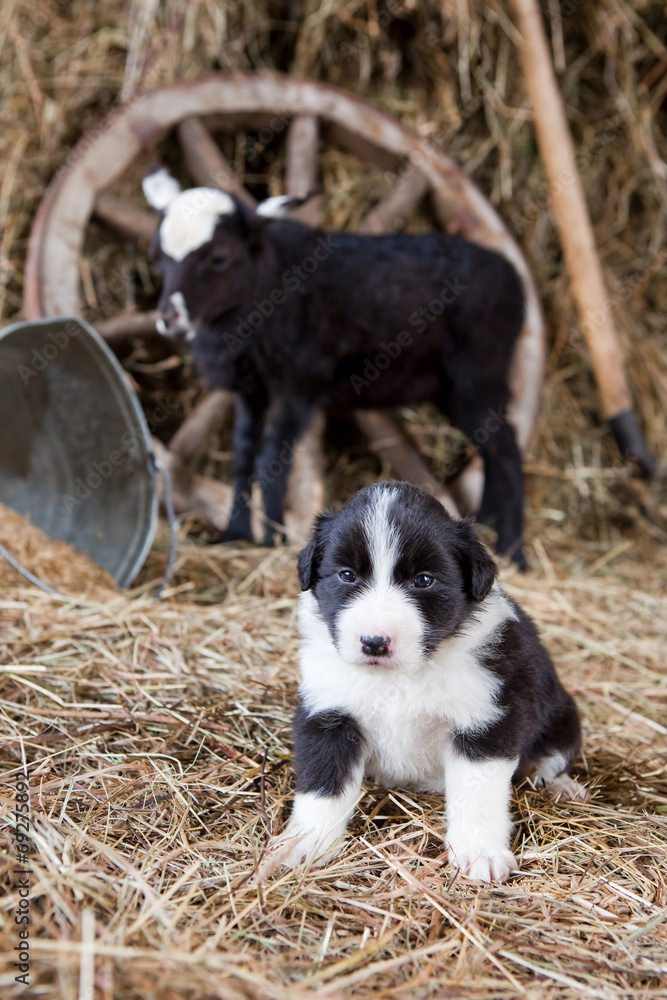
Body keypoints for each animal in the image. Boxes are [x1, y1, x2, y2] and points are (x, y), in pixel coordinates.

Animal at [260, 484, 584, 884]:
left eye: (424, 580)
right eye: (347, 575)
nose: (374, 642)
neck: (400, 676)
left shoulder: (485, 721)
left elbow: (476, 794)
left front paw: (480, 852)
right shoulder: (329, 715)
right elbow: (323, 787)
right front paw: (304, 842)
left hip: (564, 716)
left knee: (552, 759)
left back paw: (564, 786)